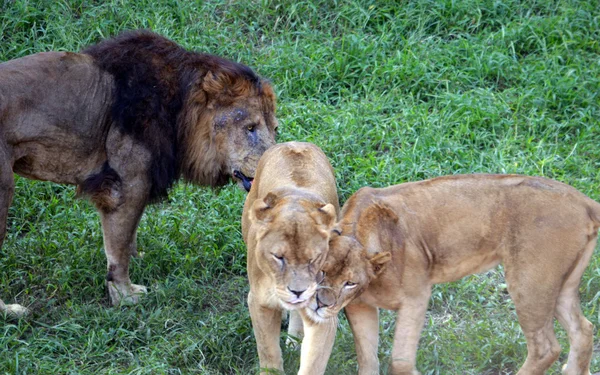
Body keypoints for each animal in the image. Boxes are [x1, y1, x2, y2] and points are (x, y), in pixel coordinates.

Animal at [0, 30, 276, 318]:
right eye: (251, 127)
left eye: (275, 128)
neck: (180, 109)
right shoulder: (127, 183)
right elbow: (118, 248)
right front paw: (124, 296)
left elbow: (126, 234)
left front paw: (138, 260)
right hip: (4, 190)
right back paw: (11, 311)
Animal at [243, 142, 338, 375]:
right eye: (279, 257)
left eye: (314, 259)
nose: (297, 291)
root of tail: (296, 143)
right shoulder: (258, 302)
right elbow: (268, 352)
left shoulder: (325, 315)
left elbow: (313, 363)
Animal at [308, 175, 596, 375]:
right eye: (321, 272)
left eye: (350, 282)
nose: (320, 303)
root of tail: (586, 201)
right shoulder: (360, 307)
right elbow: (368, 360)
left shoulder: (416, 297)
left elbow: (401, 359)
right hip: (559, 286)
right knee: (583, 329)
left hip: (530, 284)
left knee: (545, 348)